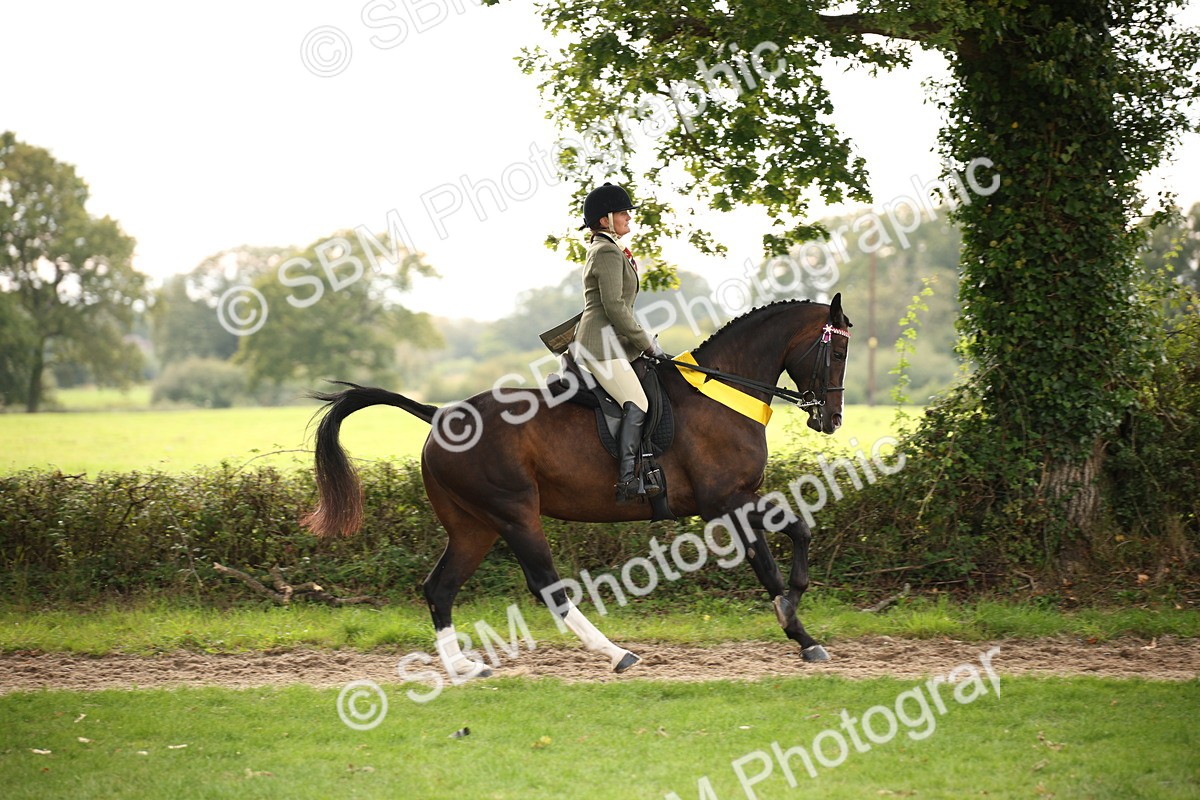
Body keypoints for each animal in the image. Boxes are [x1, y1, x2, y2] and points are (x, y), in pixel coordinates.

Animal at [302, 294, 852, 677]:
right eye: (839, 349)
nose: (831, 419)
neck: (722, 389)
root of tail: (441, 415)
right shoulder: (725, 502)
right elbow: (766, 564)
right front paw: (798, 630)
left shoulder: (739, 498)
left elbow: (799, 531)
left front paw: (794, 609)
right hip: (514, 514)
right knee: (547, 587)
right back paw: (616, 654)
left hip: (474, 526)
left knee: (440, 588)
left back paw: (462, 667)